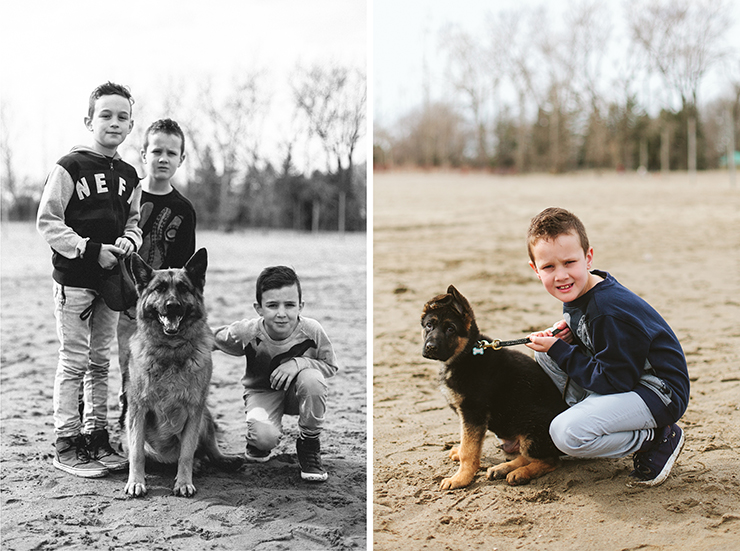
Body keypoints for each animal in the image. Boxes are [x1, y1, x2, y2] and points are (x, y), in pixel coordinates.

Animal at [124, 248, 243, 498]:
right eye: (159, 288)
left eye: (183, 288)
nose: (172, 306)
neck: (171, 351)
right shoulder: (137, 410)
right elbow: (137, 453)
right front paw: (136, 481)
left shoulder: (194, 411)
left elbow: (186, 453)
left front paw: (183, 482)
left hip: (206, 416)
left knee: (209, 449)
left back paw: (221, 461)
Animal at [422, 286, 568, 490]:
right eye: (429, 325)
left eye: (450, 329)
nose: (430, 347)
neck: (465, 353)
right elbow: (467, 442)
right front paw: (460, 455)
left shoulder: (473, 413)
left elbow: (469, 450)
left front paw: (460, 479)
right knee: (529, 456)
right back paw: (502, 469)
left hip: (532, 427)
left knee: (551, 461)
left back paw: (519, 473)